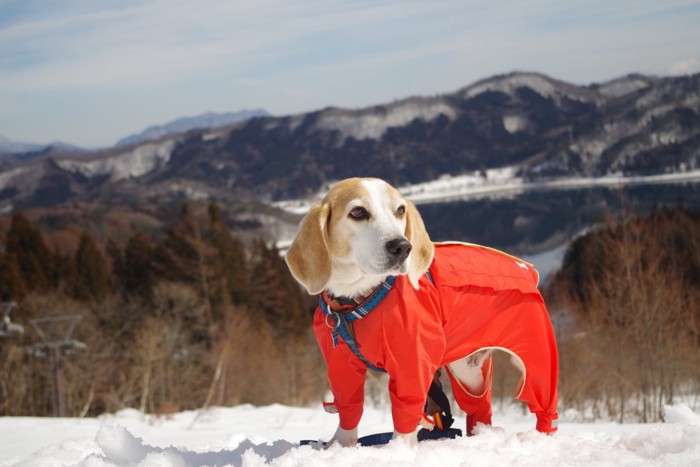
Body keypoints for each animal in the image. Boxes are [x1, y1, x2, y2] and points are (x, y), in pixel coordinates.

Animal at [284, 178, 556, 446]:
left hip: (536, 358)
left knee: (544, 404)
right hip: (468, 372)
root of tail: (527, 270)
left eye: (400, 210)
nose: (402, 247)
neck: (360, 299)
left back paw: (542, 436)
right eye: (358, 212)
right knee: (480, 409)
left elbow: (405, 416)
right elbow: (348, 411)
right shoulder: (341, 368)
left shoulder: (411, 367)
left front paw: (399, 450)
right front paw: (340, 446)